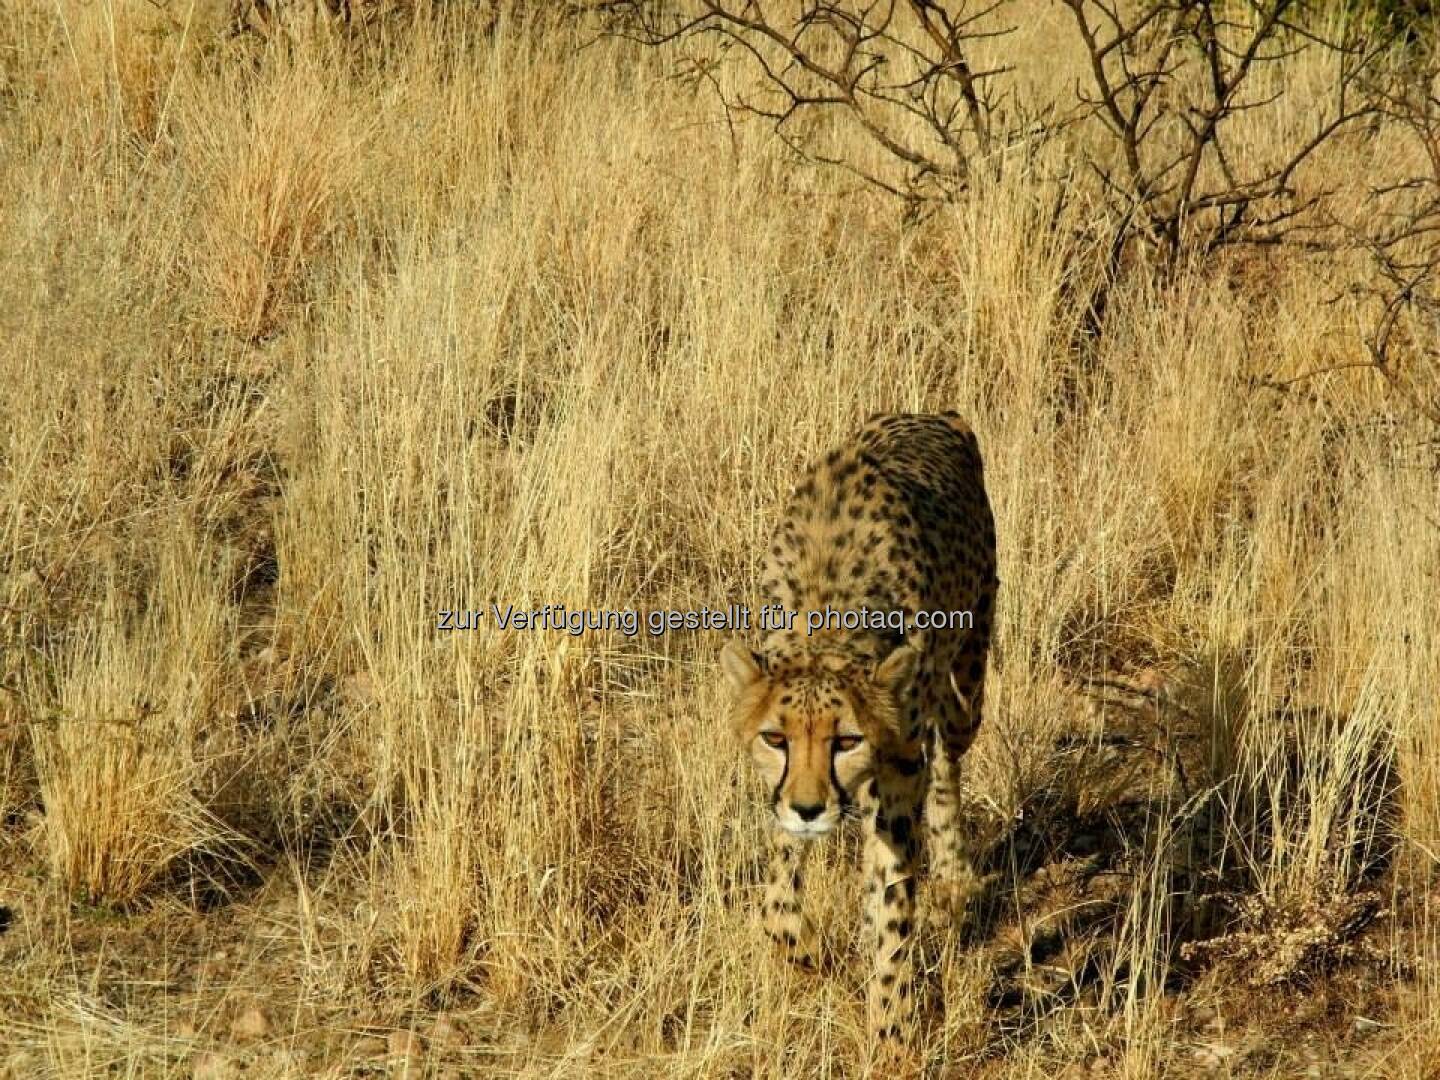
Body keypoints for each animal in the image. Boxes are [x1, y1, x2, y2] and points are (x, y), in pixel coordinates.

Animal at [725, 411, 996, 1059]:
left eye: (846, 740)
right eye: (775, 739)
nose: (808, 809)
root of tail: (935, 414)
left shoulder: (900, 760)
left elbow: (896, 899)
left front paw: (891, 1033)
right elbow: (777, 903)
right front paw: (810, 959)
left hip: (965, 688)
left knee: (946, 767)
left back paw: (952, 879)